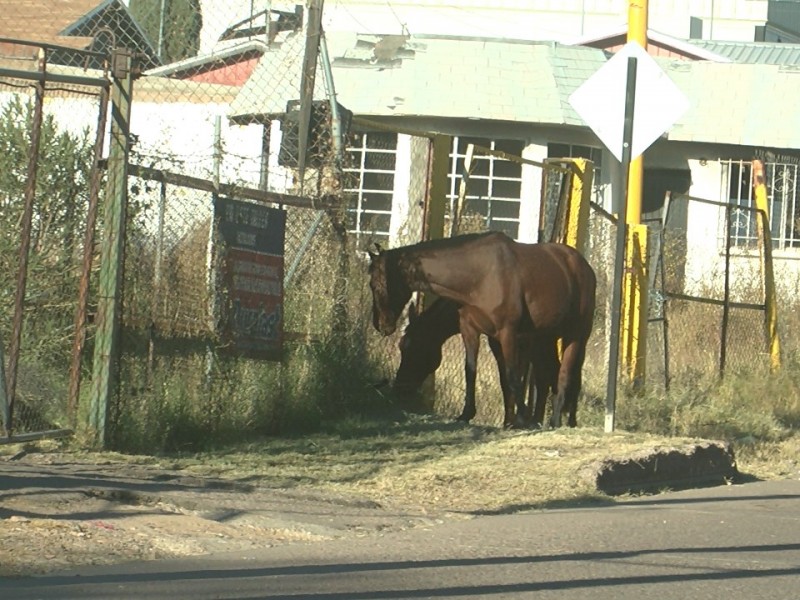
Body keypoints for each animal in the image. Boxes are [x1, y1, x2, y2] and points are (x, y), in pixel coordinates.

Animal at [392, 296, 564, 426]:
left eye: (415, 348)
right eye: (401, 345)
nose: (399, 388)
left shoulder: (520, 343)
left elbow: (517, 378)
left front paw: (515, 420)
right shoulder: (497, 341)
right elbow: (499, 378)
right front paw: (508, 420)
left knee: (548, 375)